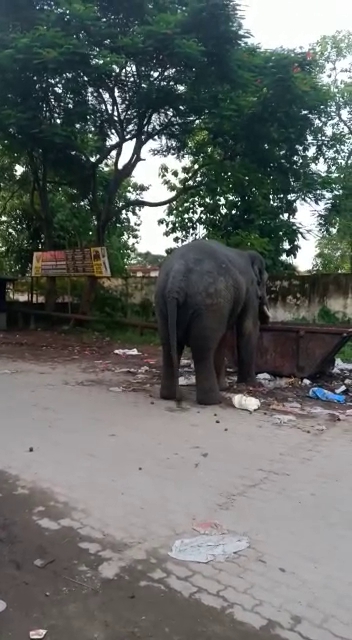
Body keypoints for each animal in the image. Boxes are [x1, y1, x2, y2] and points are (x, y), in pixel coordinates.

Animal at [154, 238, 270, 408]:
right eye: (265, 282)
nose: (267, 319)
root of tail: (177, 274)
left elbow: (225, 336)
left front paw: (226, 386)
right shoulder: (249, 289)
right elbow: (247, 328)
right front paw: (251, 385)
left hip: (162, 302)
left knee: (169, 345)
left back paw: (170, 396)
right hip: (210, 305)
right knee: (203, 348)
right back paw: (213, 401)